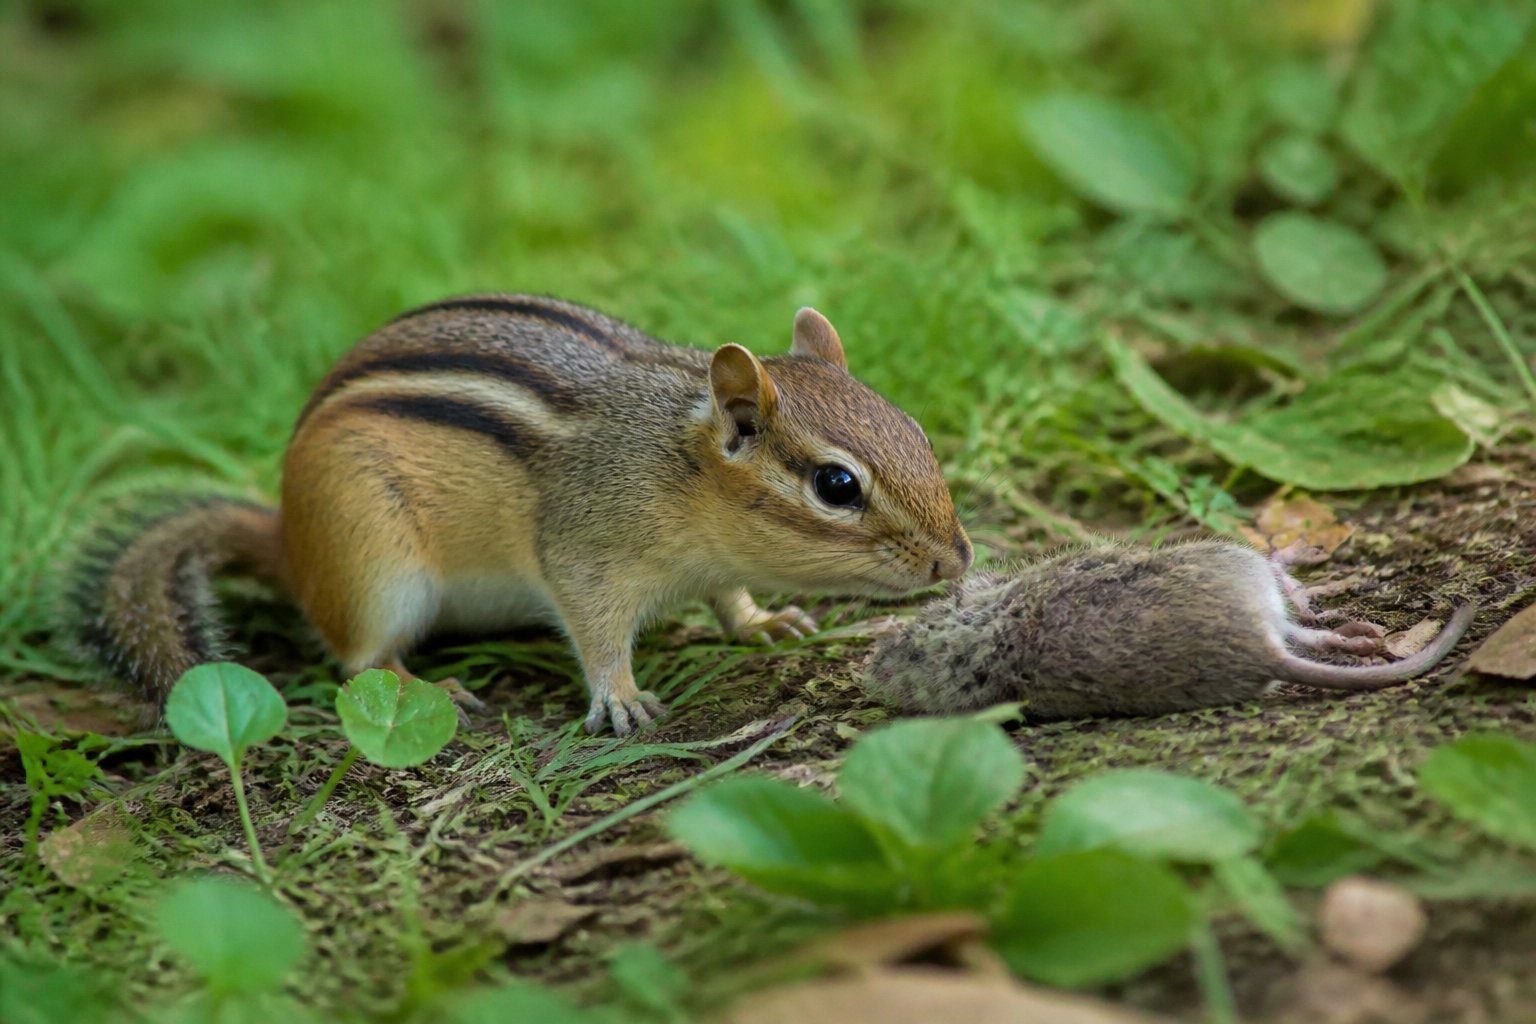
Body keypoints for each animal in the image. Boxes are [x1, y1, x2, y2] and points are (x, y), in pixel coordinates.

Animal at [66, 294, 973, 735]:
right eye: (837, 485)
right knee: (358, 662)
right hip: (374, 567)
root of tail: (287, 537)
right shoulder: (583, 552)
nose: (956, 559)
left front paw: (760, 621)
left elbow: (728, 597)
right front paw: (621, 697)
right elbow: (596, 631)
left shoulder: (712, 566)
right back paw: (425, 685)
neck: (672, 465)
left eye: (918, 431)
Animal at [861, 539, 1476, 720]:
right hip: (1236, 559)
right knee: (1302, 617)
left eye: (905, 636)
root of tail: (1256, 648)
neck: (983, 640)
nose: (868, 666)